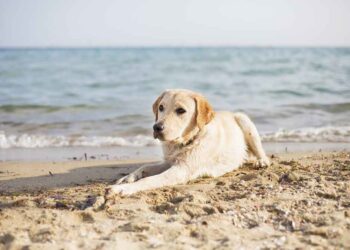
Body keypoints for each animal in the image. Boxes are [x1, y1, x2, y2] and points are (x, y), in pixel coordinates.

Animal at [108, 89, 270, 196]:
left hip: (244, 120)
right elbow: (145, 167)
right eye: (161, 107)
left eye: (181, 110)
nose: (157, 127)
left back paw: (262, 161)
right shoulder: (170, 162)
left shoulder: (181, 170)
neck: (184, 142)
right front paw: (127, 178)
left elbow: (148, 180)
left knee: (262, 152)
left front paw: (122, 189)